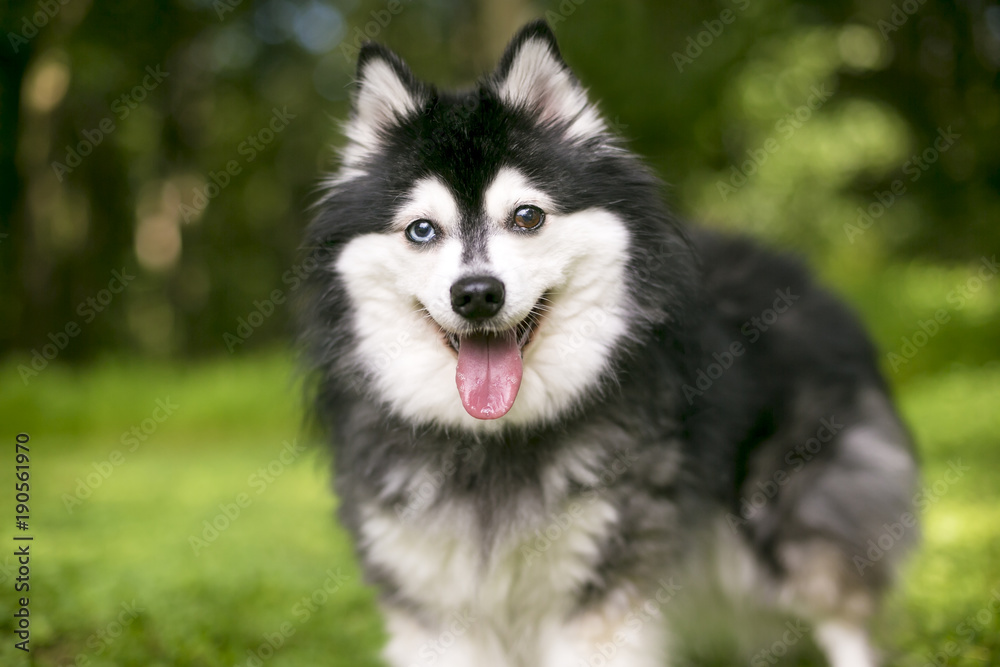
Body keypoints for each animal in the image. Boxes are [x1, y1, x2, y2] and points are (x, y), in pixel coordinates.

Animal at [300, 19, 916, 667]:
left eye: (526, 216)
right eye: (421, 229)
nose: (476, 295)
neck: (495, 440)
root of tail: (803, 278)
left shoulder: (601, 589)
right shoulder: (436, 606)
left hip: (795, 521)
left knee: (843, 613)